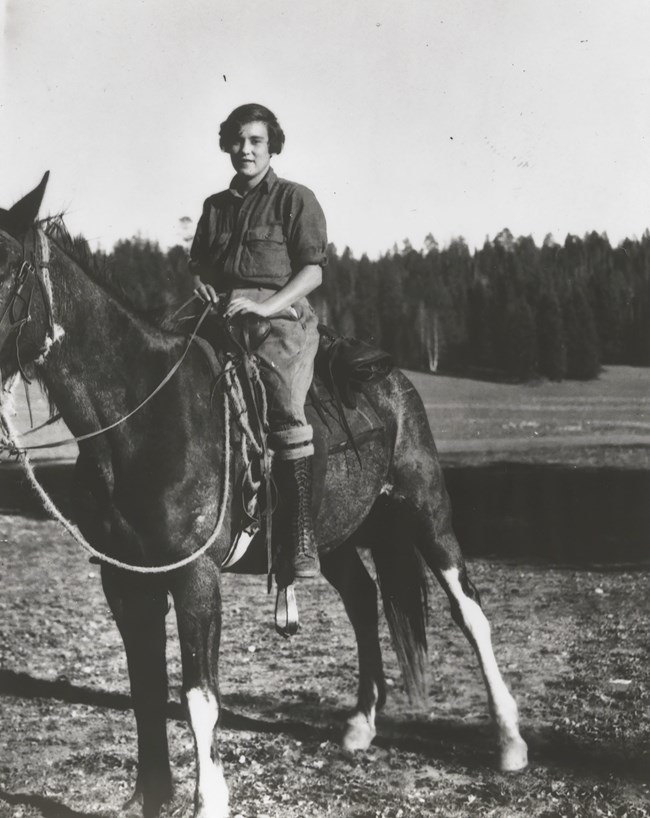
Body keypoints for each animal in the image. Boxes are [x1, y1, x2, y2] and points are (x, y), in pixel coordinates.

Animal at [0, 175, 528, 816]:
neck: (143, 418)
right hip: (328, 538)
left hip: (425, 508)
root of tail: (392, 377)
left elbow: (198, 695)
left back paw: (510, 742)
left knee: (469, 611)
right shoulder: (124, 579)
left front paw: (210, 799)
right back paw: (360, 725)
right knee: (362, 599)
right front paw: (151, 795)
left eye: (5, 267)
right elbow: (144, 687)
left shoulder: (195, 576)